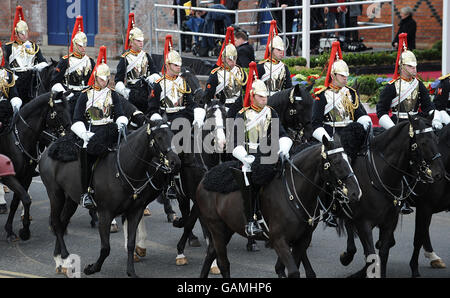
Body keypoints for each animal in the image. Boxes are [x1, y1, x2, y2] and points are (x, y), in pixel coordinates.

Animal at [0, 93, 71, 242]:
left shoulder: (25, 177)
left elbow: (18, 201)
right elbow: (26, 199)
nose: (70, 134)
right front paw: (22, 231)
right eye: (59, 112)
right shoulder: (9, 177)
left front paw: (16, 229)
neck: (19, 138)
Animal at [38, 118, 179, 278]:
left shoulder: (135, 210)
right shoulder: (105, 214)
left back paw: (60, 260)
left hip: (70, 200)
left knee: (62, 223)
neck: (123, 167)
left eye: (172, 134)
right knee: (56, 223)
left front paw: (131, 271)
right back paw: (66, 258)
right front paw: (92, 268)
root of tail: (48, 150)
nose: (175, 162)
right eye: (159, 137)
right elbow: (106, 248)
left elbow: (131, 243)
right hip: (55, 194)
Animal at [195, 136, 360, 278]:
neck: (293, 193)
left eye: (350, 159)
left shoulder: (302, 240)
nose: (356, 193)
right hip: (216, 227)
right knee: (224, 264)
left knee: (211, 253)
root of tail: (204, 179)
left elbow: (284, 268)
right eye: (336, 162)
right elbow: (292, 272)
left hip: (227, 228)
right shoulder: (279, 240)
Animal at [338, 116, 442, 278]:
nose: (439, 173)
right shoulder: (364, 223)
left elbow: (383, 253)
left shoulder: (389, 223)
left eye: (436, 139)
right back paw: (347, 256)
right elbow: (371, 254)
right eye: (423, 142)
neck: (382, 175)